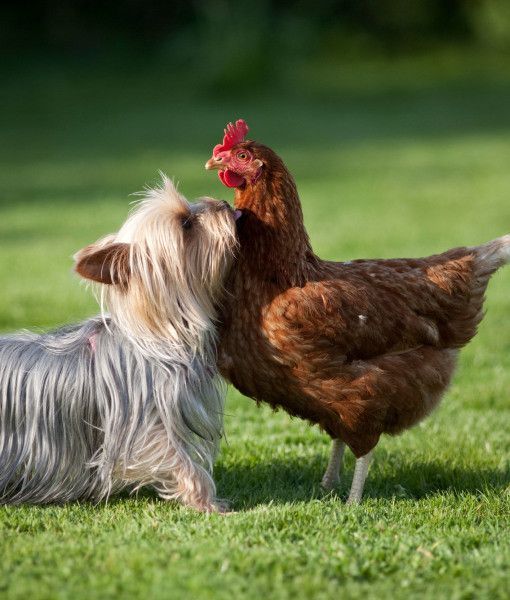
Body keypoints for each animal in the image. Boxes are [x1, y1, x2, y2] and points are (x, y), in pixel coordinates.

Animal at [0, 177, 238, 510]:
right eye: (186, 224)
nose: (225, 203)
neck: (157, 335)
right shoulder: (144, 422)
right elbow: (179, 460)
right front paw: (208, 503)